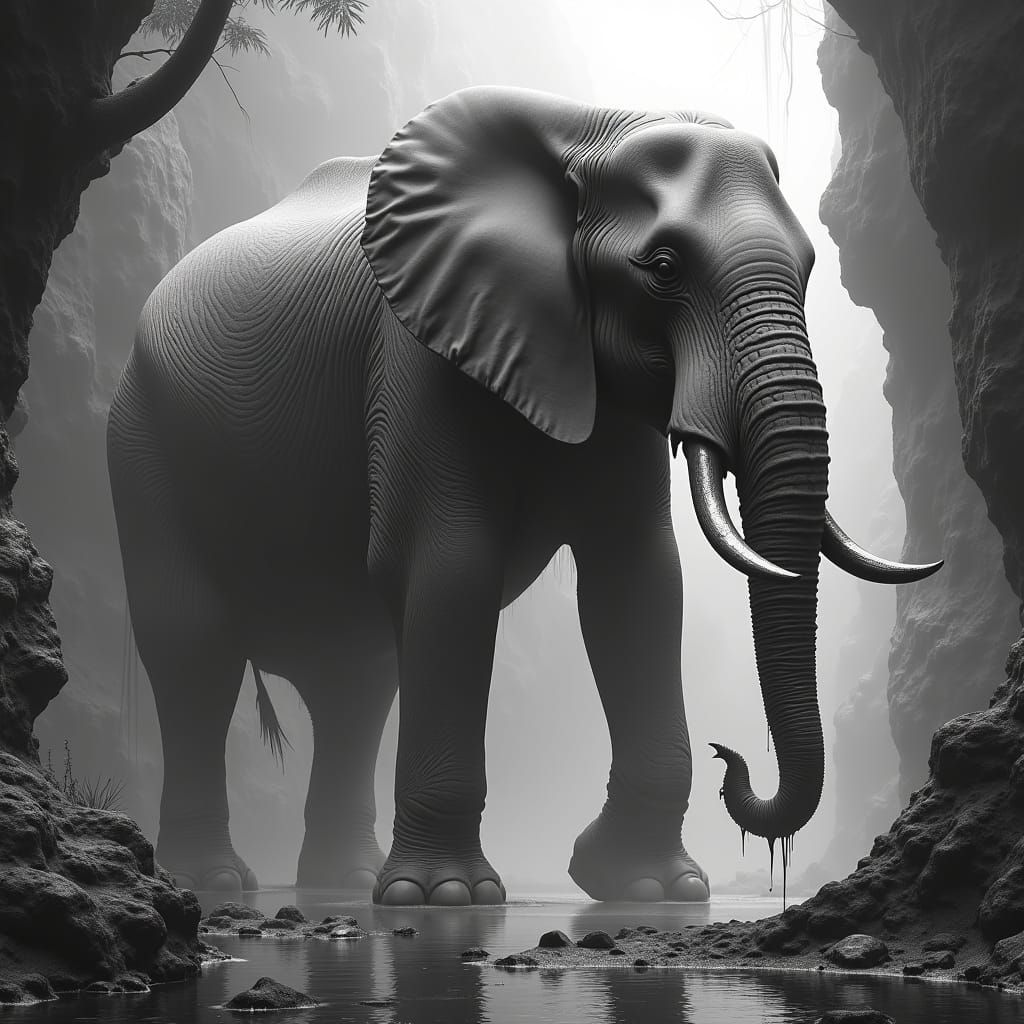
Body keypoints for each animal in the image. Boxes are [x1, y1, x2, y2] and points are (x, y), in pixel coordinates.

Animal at [107, 86, 941, 905]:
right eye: (663, 266)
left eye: (809, 265)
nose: (729, 754)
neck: (587, 130)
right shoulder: (417, 351)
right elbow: (451, 568)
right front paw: (445, 898)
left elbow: (637, 582)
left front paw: (651, 888)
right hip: (140, 438)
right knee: (194, 646)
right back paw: (214, 881)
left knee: (357, 679)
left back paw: (342, 882)